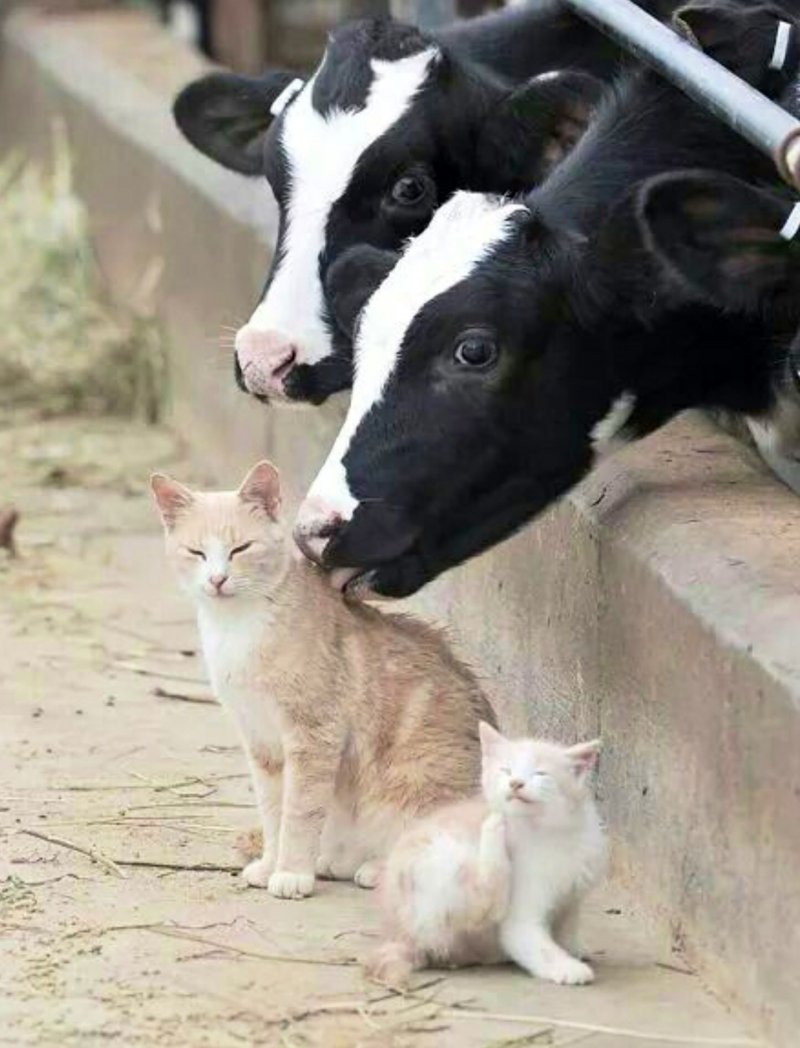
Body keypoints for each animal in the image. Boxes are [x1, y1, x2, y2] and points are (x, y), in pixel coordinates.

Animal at [150, 465, 496, 901]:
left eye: (240, 549)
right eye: (196, 552)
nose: (216, 579)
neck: (237, 626)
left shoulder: (314, 735)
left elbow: (299, 811)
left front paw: (291, 873)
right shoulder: (260, 741)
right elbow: (273, 810)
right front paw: (270, 864)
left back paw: (375, 869)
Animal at [369, 725, 608, 985]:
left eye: (540, 773)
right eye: (506, 770)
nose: (515, 783)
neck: (554, 832)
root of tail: (399, 934)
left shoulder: (572, 895)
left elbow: (568, 922)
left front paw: (574, 947)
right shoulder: (521, 913)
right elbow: (531, 942)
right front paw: (568, 968)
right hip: (441, 860)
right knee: (483, 903)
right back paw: (493, 828)